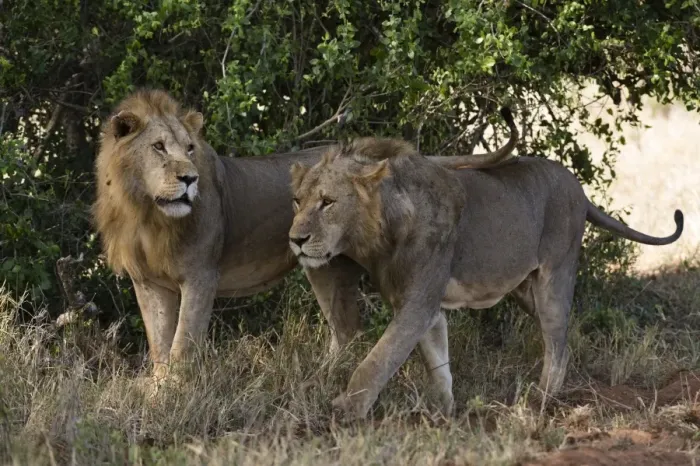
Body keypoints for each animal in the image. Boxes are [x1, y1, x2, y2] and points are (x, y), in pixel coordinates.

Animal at [92, 89, 518, 385]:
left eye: (190, 149)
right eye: (159, 147)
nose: (189, 178)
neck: (146, 213)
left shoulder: (201, 275)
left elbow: (182, 345)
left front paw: (175, 394)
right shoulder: (148, 283)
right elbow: (159, 346)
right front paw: (158, 393)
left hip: (326, 265)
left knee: (348, 329)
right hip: (323, 267)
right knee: (345, 330)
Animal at [288, 136, 684, 419]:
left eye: (327, 201)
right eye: (296, 201)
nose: (295, 239)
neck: (382, 229)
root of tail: (579, 188)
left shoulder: (417, 304)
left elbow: (377, 360)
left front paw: (346, 410)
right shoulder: (424, 307)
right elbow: (438, 365)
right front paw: (443, 414)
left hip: (555, 275)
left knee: (556, 343)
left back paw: (539, 402)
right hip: (525, 290)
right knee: (564, 342)